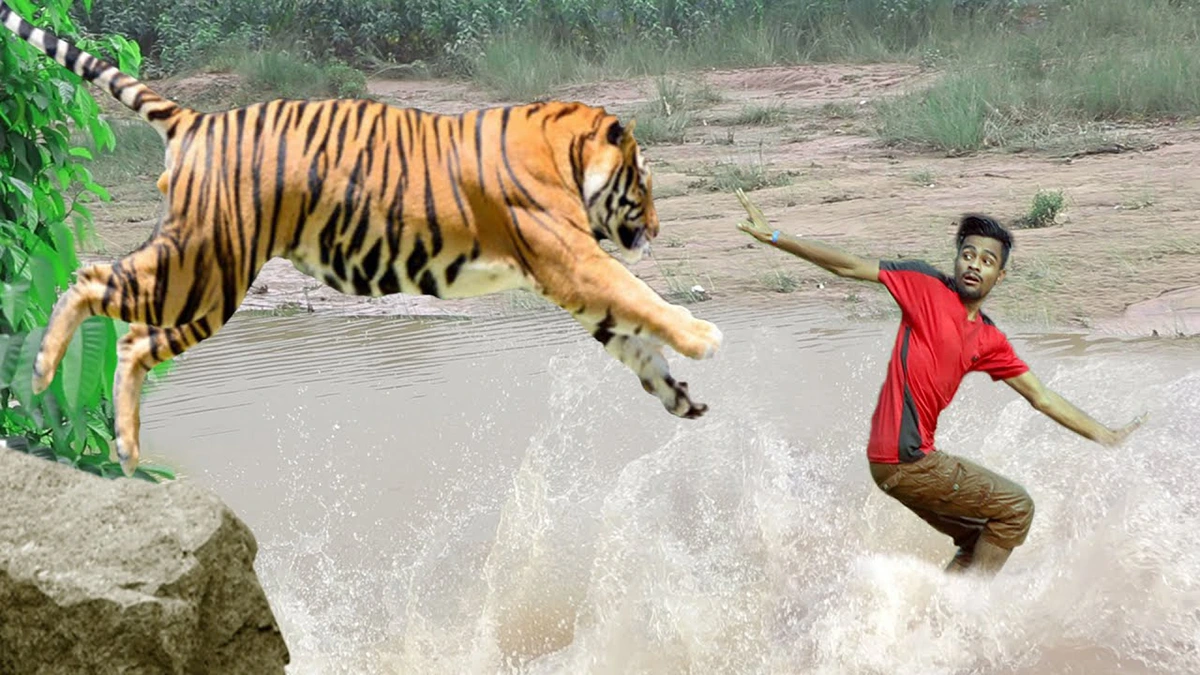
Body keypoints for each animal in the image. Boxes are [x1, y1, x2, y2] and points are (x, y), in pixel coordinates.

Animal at [0, 2, 724, 477]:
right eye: (644, 184)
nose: (657, 229)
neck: (567, 151)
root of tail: (196, 119)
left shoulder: (574, 282)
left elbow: (636, 344)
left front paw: (681, 396)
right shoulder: (572, 260)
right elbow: (639, 295)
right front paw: (702, 336)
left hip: (207, 292)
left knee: (132, 341)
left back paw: (127, 451)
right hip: (203, 268)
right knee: (88, 281)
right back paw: (41, 374)